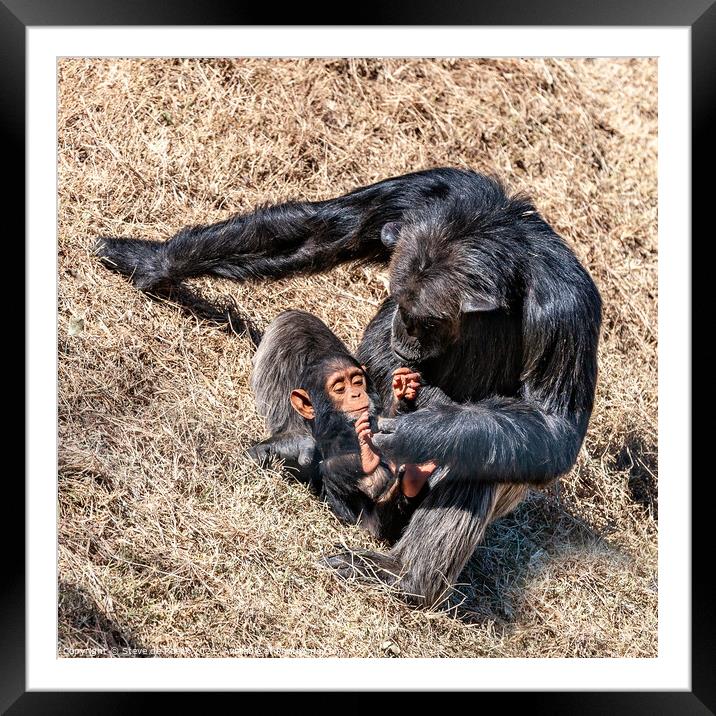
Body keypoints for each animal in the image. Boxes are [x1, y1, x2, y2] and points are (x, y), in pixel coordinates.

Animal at [93, 166, 600, 604]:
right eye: (400, 305)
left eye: (427, 323)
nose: (401, 333)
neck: (492, 239)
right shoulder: (429, 191)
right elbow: (327, 229)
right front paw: (149, 259)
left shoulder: (564, 306)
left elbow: (553, 425)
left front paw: (428, 427)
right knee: (295, 325)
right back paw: (296, 447)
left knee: (489, 458)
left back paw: (401, 573)